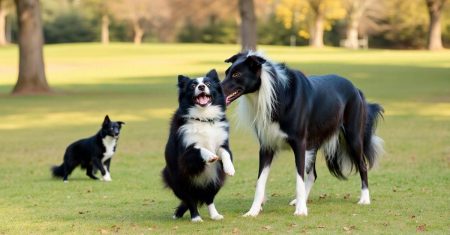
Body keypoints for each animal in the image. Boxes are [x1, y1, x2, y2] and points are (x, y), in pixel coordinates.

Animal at [162, 69, 236, 222]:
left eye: (208, 83)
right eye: (192, 85)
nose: (201, 87)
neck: (203, 118)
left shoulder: (223, 143)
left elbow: (225, 153)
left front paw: (230, 168)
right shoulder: (185, 154)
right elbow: (199, 149)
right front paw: (211, 156)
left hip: (215, 180)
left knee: (209, 198)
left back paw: (215, 215)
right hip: (181, 180)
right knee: (190, 199)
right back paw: (195, 217)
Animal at [221, 51, 384, 217]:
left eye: (236, 74)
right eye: (227, 73)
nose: (216, 91)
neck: (275, 92)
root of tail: (356, 89)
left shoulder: (299, 144)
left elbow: (299, 177)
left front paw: (301, 210)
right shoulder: (267, 146)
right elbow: (260, 181)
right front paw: (253, 210)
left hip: (353, 137)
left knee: (363, 165)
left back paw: (364, 198)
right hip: (314, 142)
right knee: (313, 174)